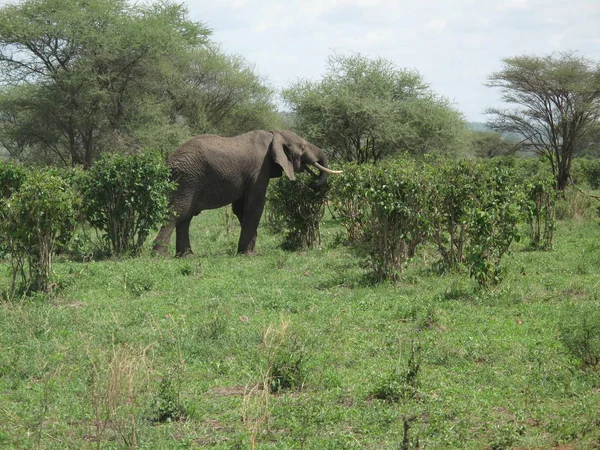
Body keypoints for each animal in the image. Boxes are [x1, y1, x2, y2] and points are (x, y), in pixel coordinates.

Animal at [152, 130, 340, 256]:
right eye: (302, 148)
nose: (312, 183)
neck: (274, 134)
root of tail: (167, 163)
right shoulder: (259, 170)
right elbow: (255, 205)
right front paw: (249, 254)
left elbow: (240, 208)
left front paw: (248, 249)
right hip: (187, 179)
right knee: (178, 213)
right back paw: (160, 256)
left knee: (186, 217)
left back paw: (187, 256)